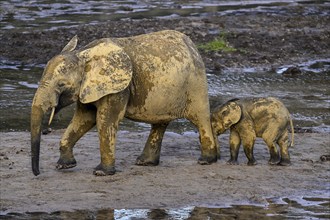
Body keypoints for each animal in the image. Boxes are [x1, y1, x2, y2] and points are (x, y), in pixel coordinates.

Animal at [30, 30, 217, 176]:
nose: (38, 173)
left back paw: (206, 161)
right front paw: (63, 166)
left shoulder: (118, 88)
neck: (83, 54)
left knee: (200, 117)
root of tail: (192, 45)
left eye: (61, 84)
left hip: (195, 83)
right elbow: (84, 119)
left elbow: (105, 121)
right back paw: (145, 163)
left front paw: (101, 173)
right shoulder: (89, 88)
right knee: (160, 123)